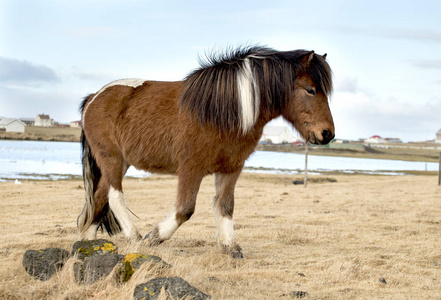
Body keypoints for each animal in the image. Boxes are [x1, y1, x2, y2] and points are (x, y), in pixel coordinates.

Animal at [78, 47, 334, 258]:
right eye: (310, 90)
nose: (327, 134)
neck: (223, 112)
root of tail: (93, 98)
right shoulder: (191, 168)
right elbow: (185, 209)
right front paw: (155, 236)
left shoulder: (231, 168)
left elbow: (225, 205)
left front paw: (230, 246)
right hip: (112, 159)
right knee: (114, 196)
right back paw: (135, 236)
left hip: (120, 163)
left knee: (98, 198)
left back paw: (89, 246)